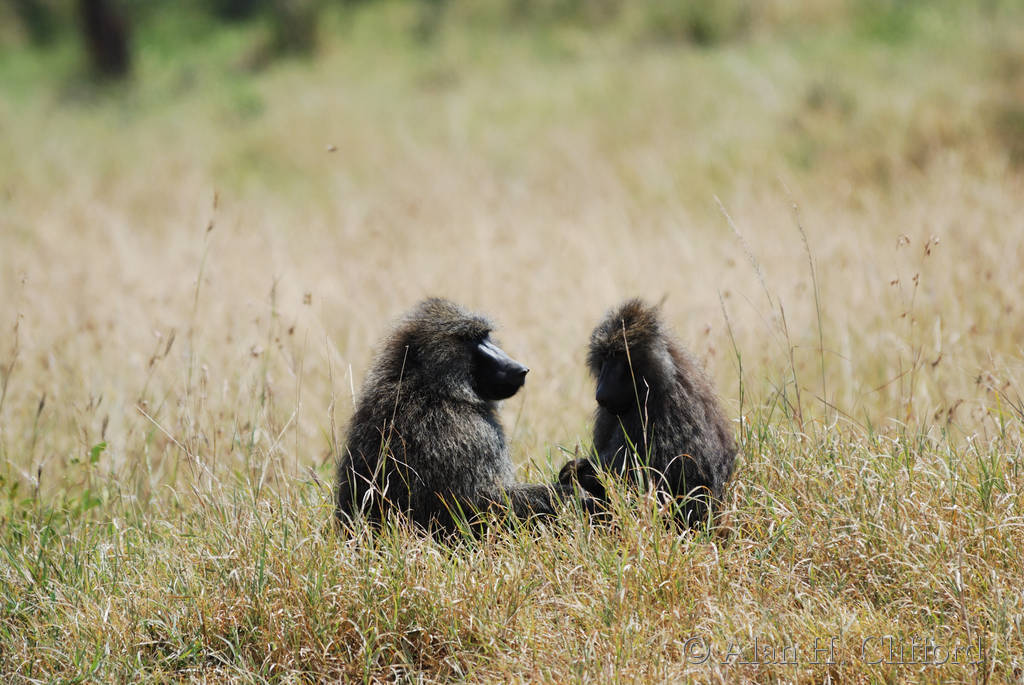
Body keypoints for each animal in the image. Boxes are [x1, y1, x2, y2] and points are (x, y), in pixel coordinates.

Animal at [335, 297, 591, 536]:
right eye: (470, 339)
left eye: (486, 336)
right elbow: (485, 505)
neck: (429, 385)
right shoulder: (470, 433)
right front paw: (576, 492)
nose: (520, 368)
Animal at [560, 298, 736, 529]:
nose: (601, 393)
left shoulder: (660, 412)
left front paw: (576, 472)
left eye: (619, 356)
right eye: (604, 357)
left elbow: (642, 480)